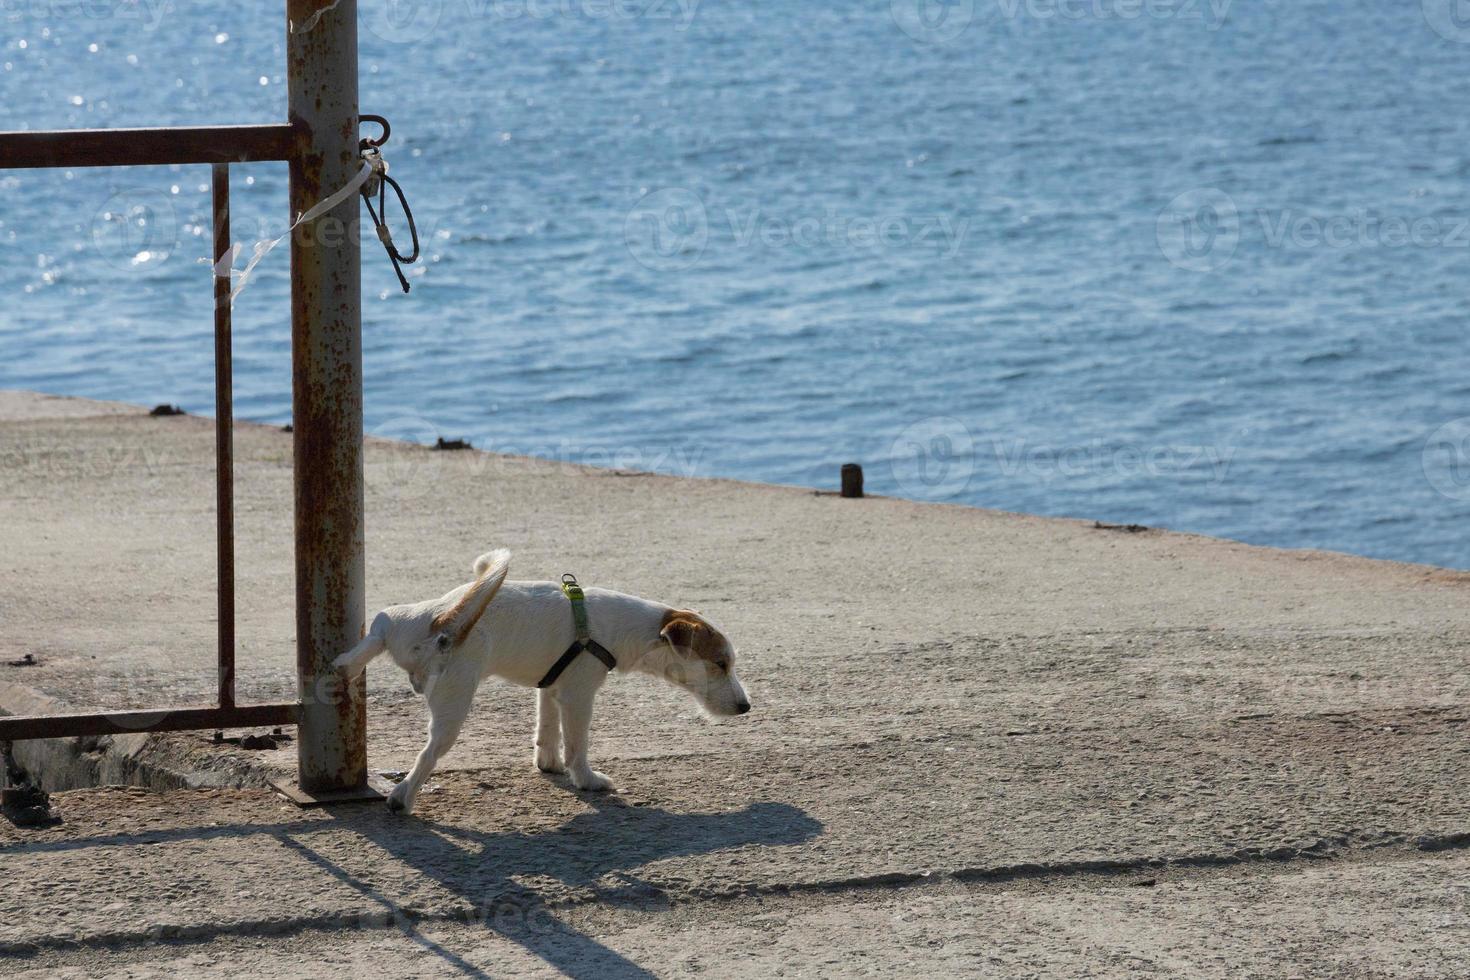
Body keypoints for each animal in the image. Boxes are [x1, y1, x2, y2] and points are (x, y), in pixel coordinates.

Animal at [333, 549, 746, 816]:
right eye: (720, 663)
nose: (746, 707)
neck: (629, 628)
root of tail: (446, 620)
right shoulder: (579, 696)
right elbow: (577, 745)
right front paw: (587, 779)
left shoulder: (551, 687)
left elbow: (547, 729)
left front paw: (548, 763)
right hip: (453, 703)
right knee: (428, 754)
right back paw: (403, 798)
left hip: (404, 620)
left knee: (380, 624)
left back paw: (347, 664)